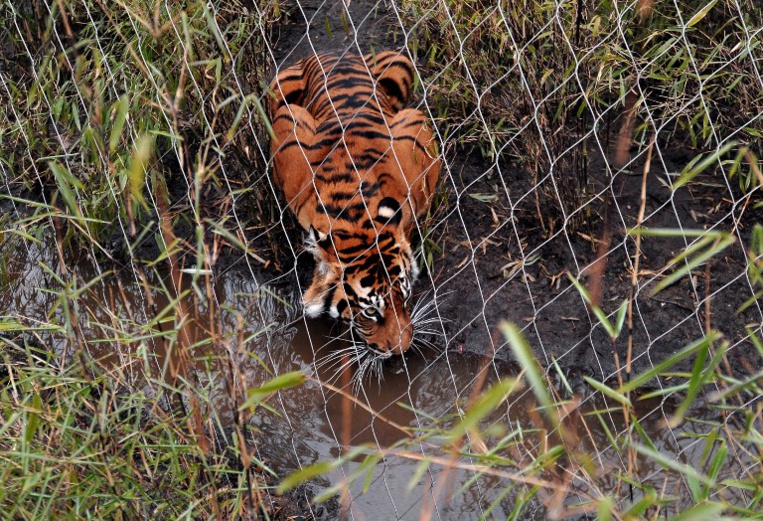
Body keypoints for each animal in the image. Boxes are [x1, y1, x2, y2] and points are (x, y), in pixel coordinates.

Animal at [269, 50, 441, 356]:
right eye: (370, 312)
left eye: (405, 295)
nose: (401, 350)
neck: (355, 214)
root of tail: (331, 54)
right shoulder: (287, 129)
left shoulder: (418, 134)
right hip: (277, 91)